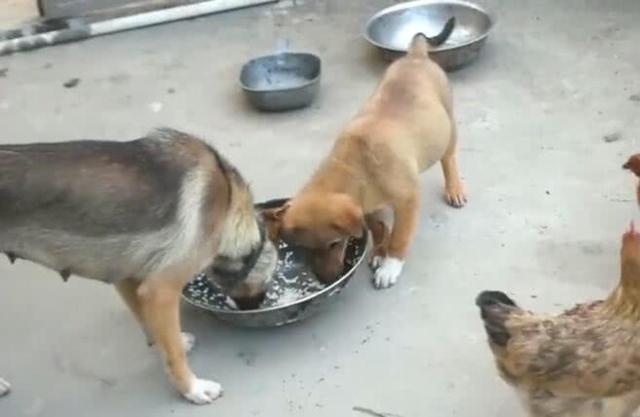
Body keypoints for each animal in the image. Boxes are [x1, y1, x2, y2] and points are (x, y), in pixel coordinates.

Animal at [0, 129, 276, 404]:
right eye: (268, 280)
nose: (258, 306)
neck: (227, 200)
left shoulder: (130, 279)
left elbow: (151, 324)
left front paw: (166, 340)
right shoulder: (161, 291)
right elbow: (174, 354)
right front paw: (192, 388)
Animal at [268, 18, 468, 286]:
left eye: (334, 244)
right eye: (304, 249)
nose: (325, 281)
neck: (357, 163)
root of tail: (416, 56)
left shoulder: (408, 200)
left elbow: (399, 237)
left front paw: (390, 266)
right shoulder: (365, 204)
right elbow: (378, 227)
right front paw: (379, 250)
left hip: (448, 125)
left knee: (449, 158)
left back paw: (454, 188)